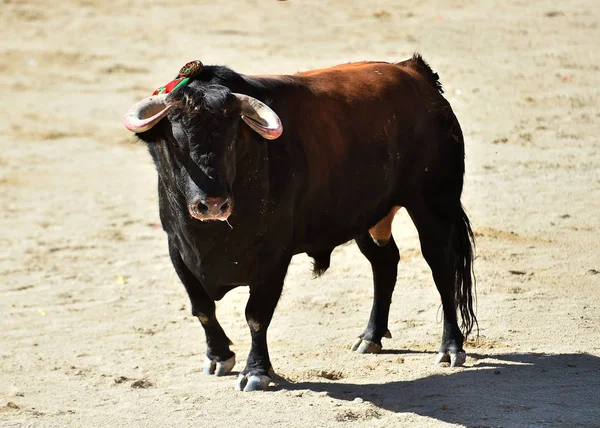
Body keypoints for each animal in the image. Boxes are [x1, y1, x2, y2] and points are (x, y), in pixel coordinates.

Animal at [123, 55, 478, 392]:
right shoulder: (177, 247)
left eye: (233, 139)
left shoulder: (272, 255)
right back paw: (370, 337)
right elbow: (202, 307)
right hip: (367, 216)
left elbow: (256, 315)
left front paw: (256, 372)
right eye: (175, 141)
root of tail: (415, 73)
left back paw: (450, 347)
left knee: (441, 266)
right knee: (385, 262)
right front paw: (218, 357)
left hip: (433, 204)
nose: (212, 204)